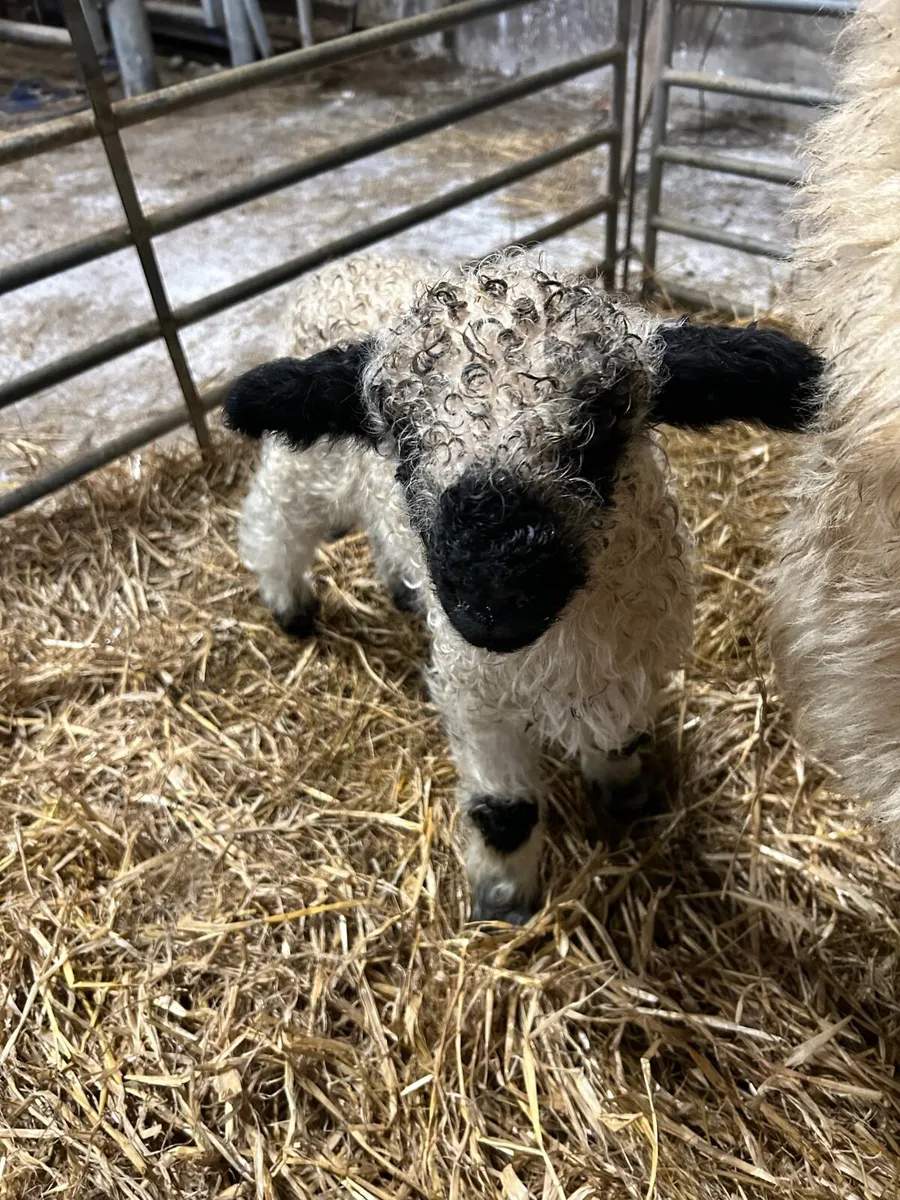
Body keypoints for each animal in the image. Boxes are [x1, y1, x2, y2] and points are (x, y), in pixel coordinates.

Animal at [225, 249, 823, 924]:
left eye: (602, 428)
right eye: (401, 437)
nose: (492, 606)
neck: (558, 646)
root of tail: (350, 263)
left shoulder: (636, 657)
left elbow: (621, 736)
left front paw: (624, 790)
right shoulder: (476, 693)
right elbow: (505, 810)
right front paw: (504, 901)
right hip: (307, 468)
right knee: (273, 516)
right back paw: (289, 604)